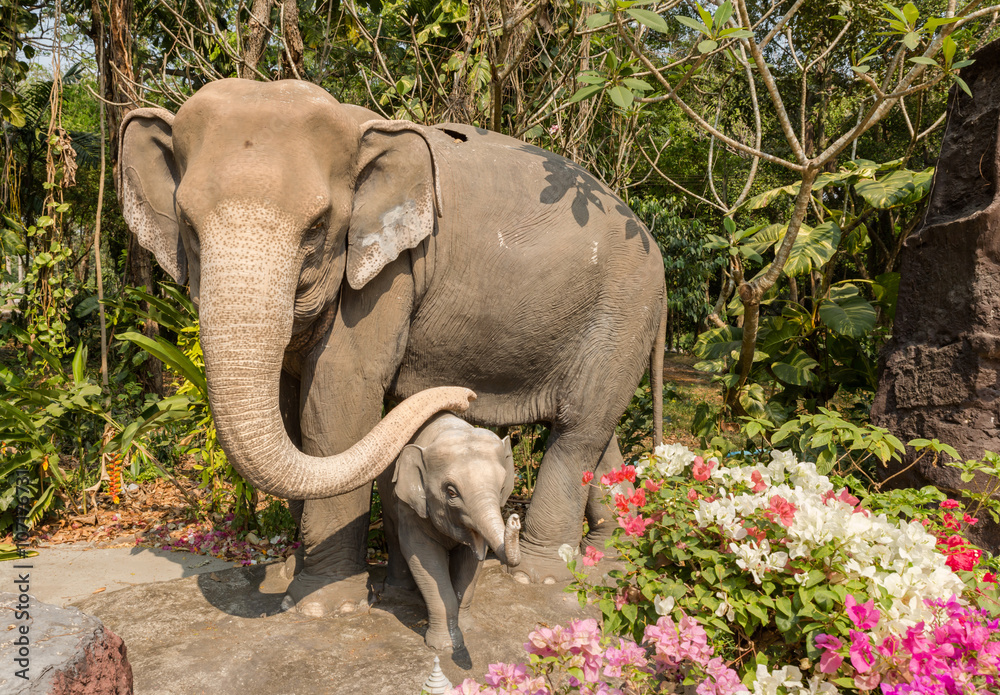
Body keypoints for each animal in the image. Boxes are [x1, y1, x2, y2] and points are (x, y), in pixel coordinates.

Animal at [117, 77, 666, 618]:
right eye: (187, 224)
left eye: (318, 227)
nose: (465, 395)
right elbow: (291, 410)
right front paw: (298, 577)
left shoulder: (388, 276)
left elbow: (337, 401)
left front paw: (323, 605)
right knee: (596, 431)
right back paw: (611, 557)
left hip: (623, 310)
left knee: (579, 428)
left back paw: (543, 574)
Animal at [379, 412, 521, 651]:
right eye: (451, 492)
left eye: (502, 487)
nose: (516, 519)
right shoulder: (409, 508)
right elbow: (422, 556)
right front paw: (445, 646)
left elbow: (472, 561)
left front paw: (467, 629)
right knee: (393, 537)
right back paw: (399, 589)